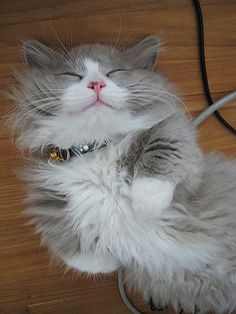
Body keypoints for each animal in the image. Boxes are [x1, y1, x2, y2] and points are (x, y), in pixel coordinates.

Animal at [9, 36, 236, 314]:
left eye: (114, 72)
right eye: (72, 75)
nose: (96, 83)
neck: (96, 147)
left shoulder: (187, 161)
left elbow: (162, 146)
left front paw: (146, 200)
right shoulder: (46, 193)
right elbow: (70, 247)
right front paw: (107, 261)